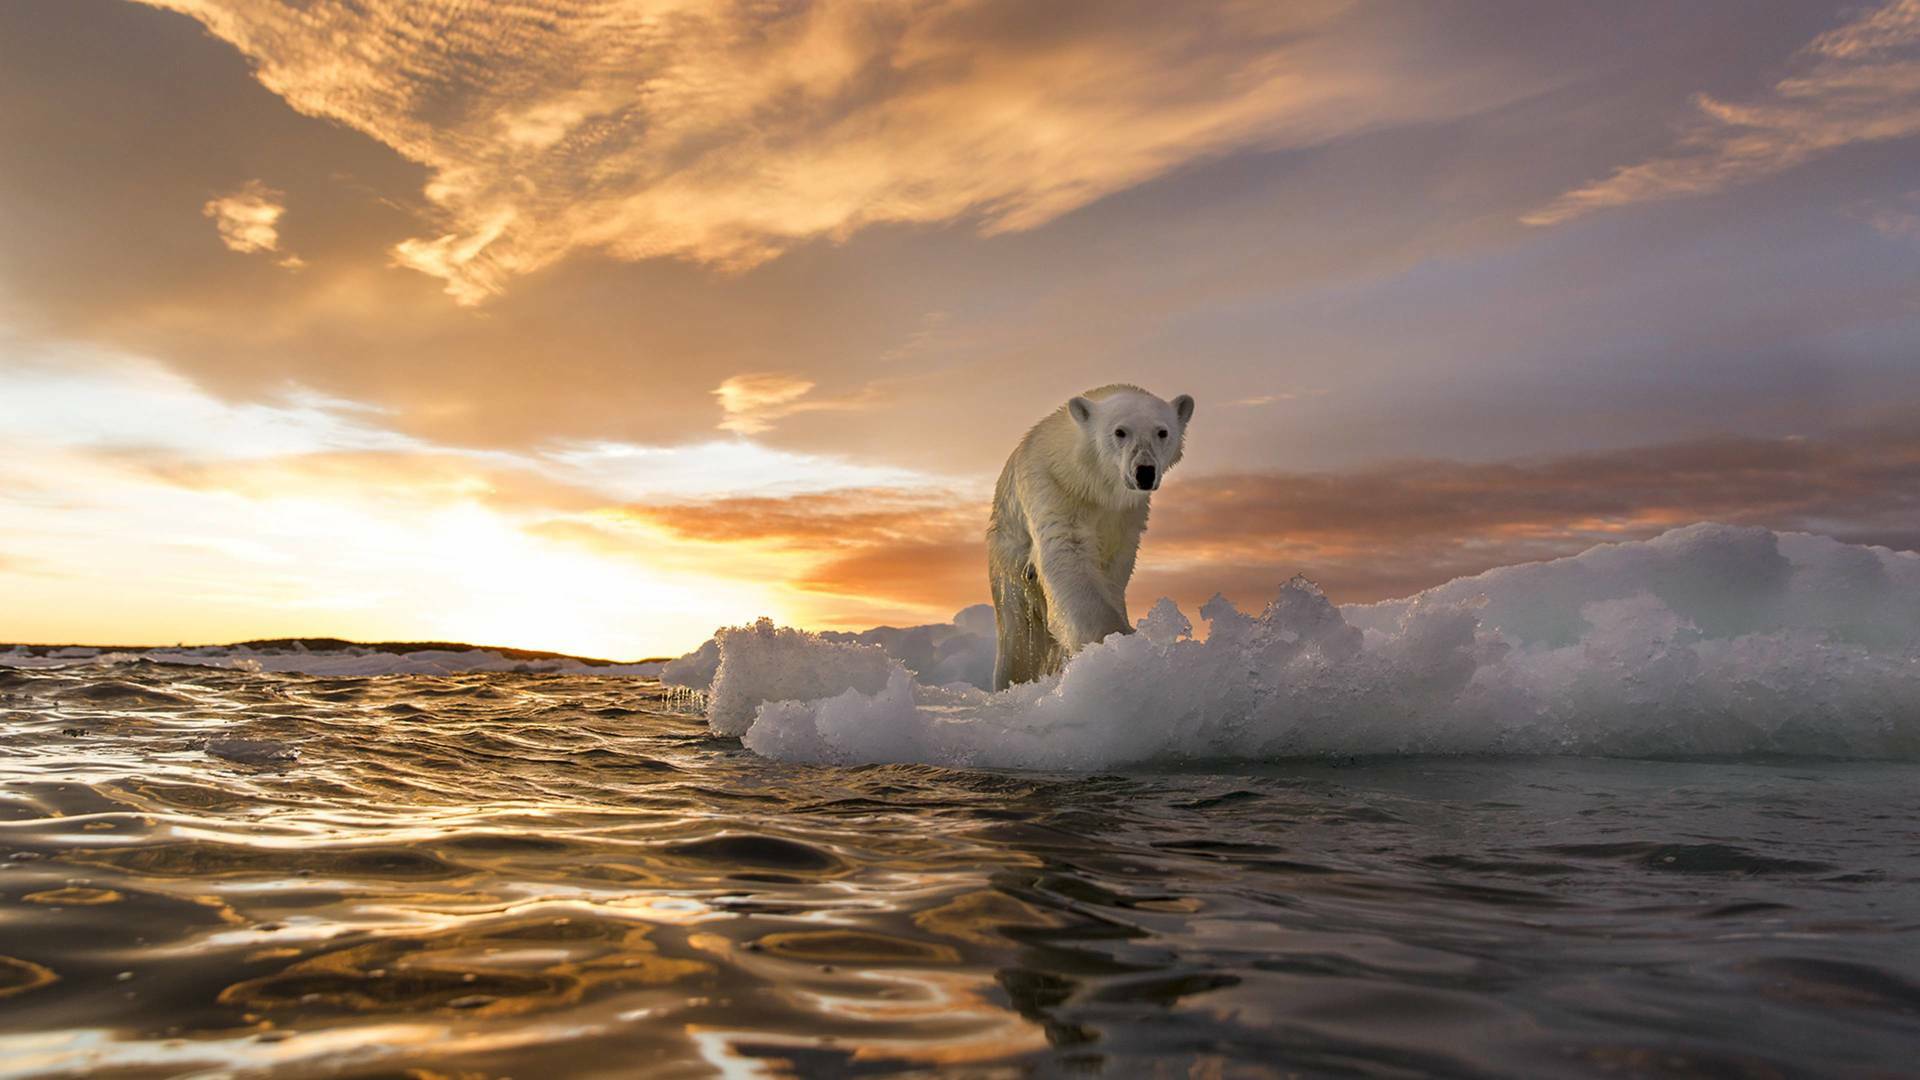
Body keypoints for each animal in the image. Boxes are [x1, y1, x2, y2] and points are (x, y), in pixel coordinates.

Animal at [990, 382, 1182, 684]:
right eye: (1120, 431)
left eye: (1162, 431)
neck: (1091, 484)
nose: (1144, 472)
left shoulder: (1126, 516)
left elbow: (1114, 566)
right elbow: (1067, 553)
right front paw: (1115, 642)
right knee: (1018, 634)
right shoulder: (1054, 489)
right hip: (1008, 560)